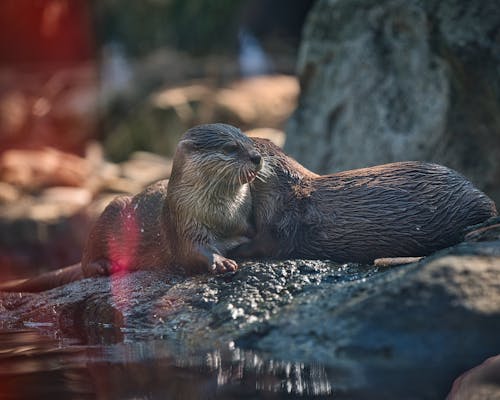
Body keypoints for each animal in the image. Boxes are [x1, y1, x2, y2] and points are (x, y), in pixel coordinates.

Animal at [0, 123, 264, 292]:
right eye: (230, 148)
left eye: (250, 141)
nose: (257, 157)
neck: (223, 216)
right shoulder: (182, 221)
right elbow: (193, 250)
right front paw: (221, 261)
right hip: (111, 211)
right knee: (86, 261)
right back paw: (104, 266)